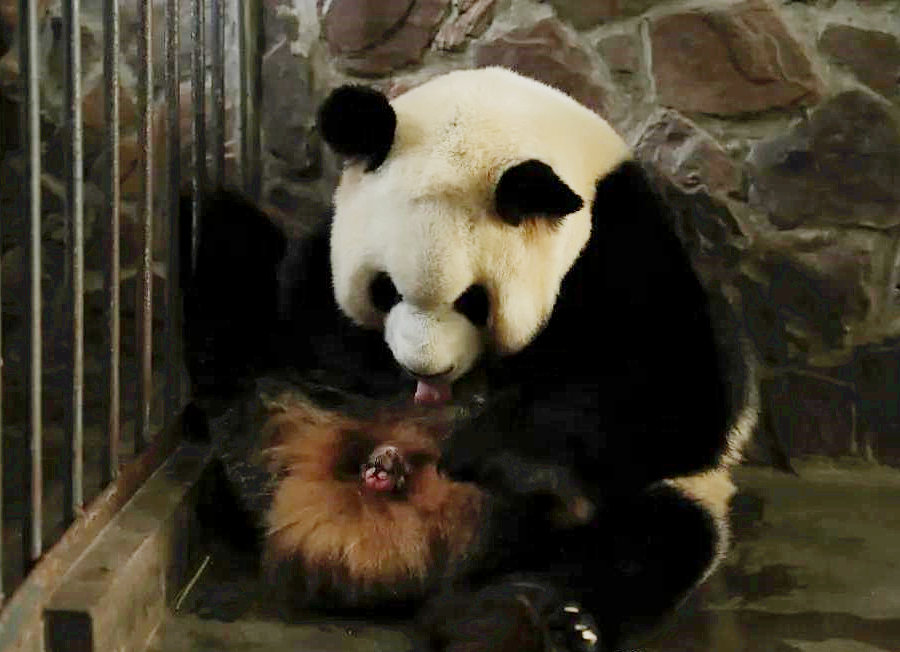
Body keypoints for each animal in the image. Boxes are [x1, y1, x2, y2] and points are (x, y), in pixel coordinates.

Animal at [182, 67, 758, 652]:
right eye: (384, 288)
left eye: (473, 301)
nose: (424, 373)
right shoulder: (324, 251)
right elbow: (305, 310)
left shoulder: (623, 242)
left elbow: (674, 395)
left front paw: (488, 444)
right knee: (235, 256)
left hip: (643, 506)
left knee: (650, 540)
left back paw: (533, 617)